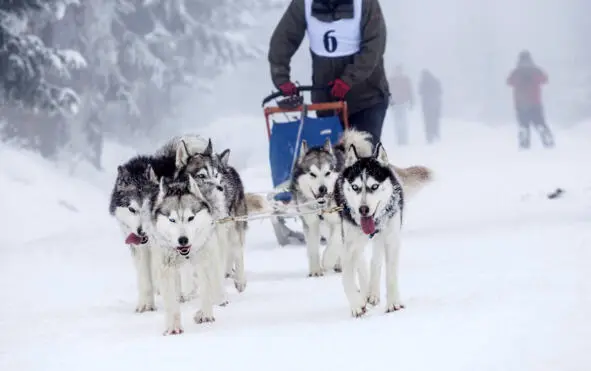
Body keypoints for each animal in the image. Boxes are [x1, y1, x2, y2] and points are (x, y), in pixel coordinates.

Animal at [147, 173, 222, 336]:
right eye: (172, 220)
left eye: (190, 218)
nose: (183, 240)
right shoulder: (166, 268)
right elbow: (171, 303)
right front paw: (173, 327)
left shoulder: (204, 262)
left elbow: (206, 290)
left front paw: (205, 315)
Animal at [336, 142, 404, 316]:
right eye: (355, 187)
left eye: (374, 186)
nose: (363, 209)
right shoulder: (348, 245)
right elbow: (346, 278)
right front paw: (356, 305)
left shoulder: (392, 240)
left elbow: (390, 274)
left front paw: (393, 303)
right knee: (361, 262)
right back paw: (366, 292)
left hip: (382, 238)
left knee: (376, 261)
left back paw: (373, 292)